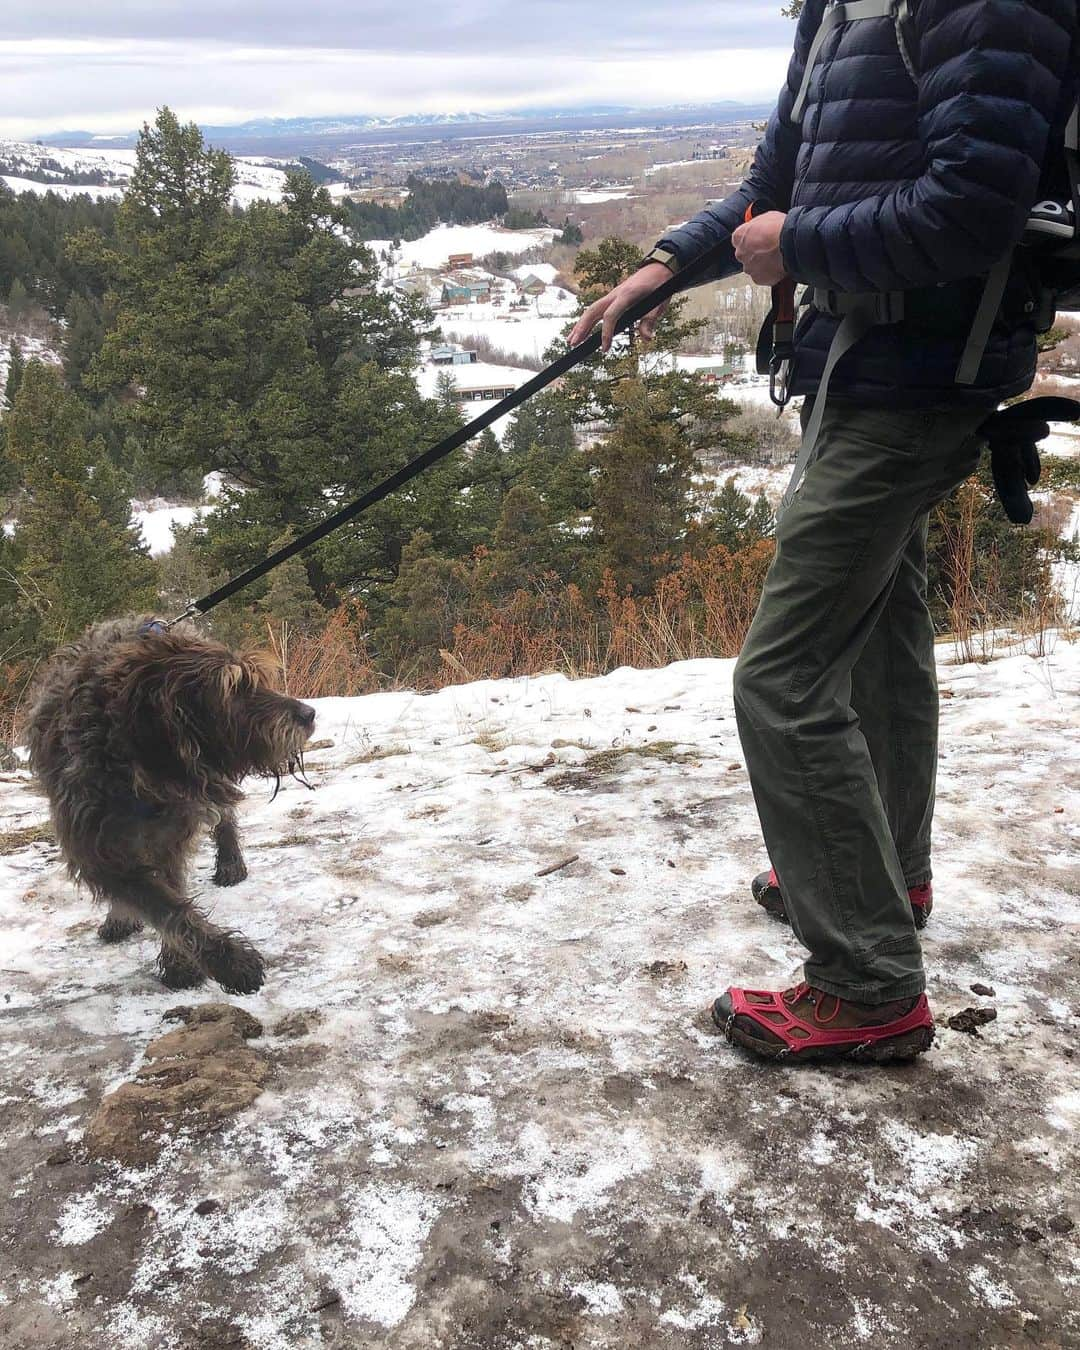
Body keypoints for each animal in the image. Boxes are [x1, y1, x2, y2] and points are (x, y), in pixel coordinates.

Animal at [24, 618, 315, 999]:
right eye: (234, 688)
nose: (309, 714)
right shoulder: (97, 850)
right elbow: (165, 907)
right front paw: (231, 962)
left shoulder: (171, 834)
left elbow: (174, 898)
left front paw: (182, 963)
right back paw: (120, 917)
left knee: (225, 818)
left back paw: (230, 863)